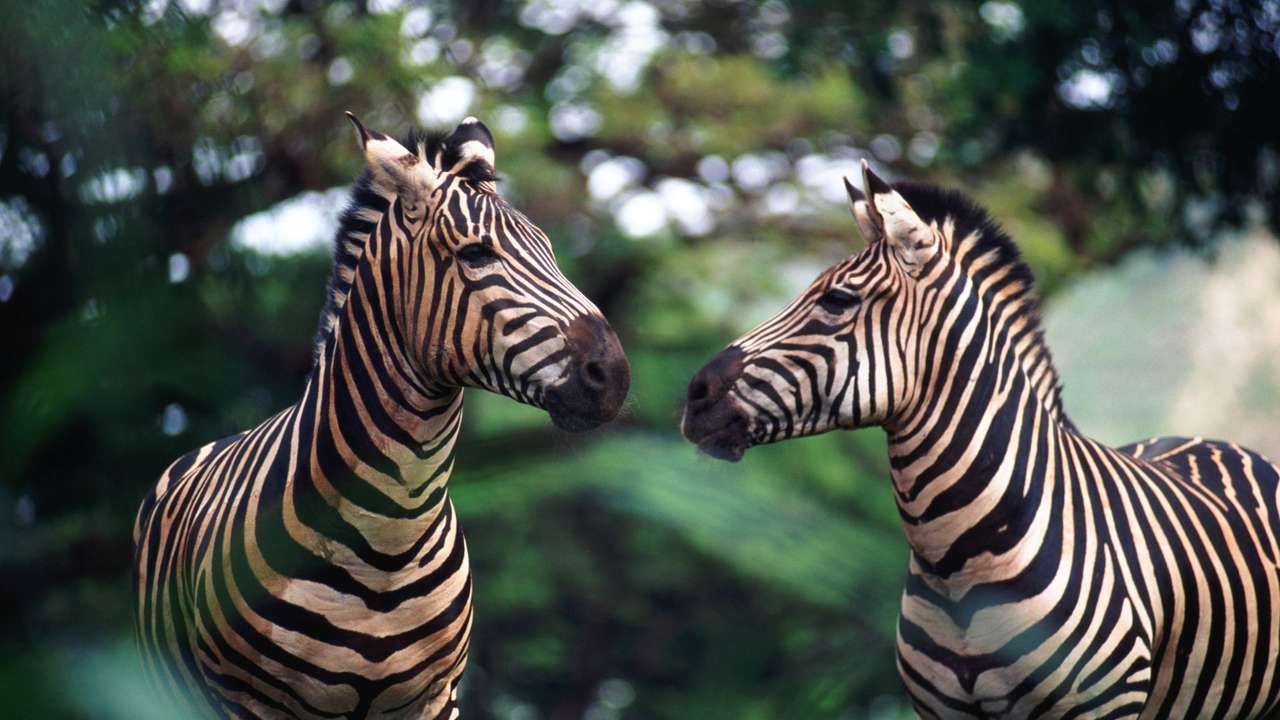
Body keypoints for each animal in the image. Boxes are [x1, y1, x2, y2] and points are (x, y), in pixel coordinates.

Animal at [135, 114, 629, 712]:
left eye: (550, 252)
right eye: (476, 254)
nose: (615, 377)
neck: (388, 534)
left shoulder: (438, 698)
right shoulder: (247, 702)